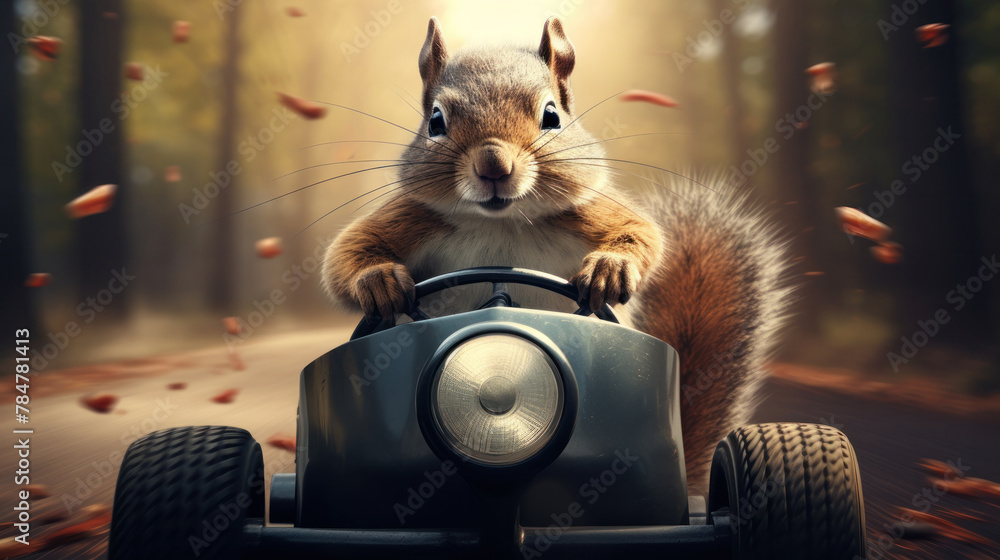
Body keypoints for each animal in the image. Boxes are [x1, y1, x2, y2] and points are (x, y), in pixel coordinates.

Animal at [320, 16, 790, 489]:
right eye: (435, 121)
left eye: (551, 116)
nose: (493, 164)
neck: (502, 223)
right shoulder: (415, 216)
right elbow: (345, 255)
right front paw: (378, 280)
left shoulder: (587, 210)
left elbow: (641, 233)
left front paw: (610, 268)